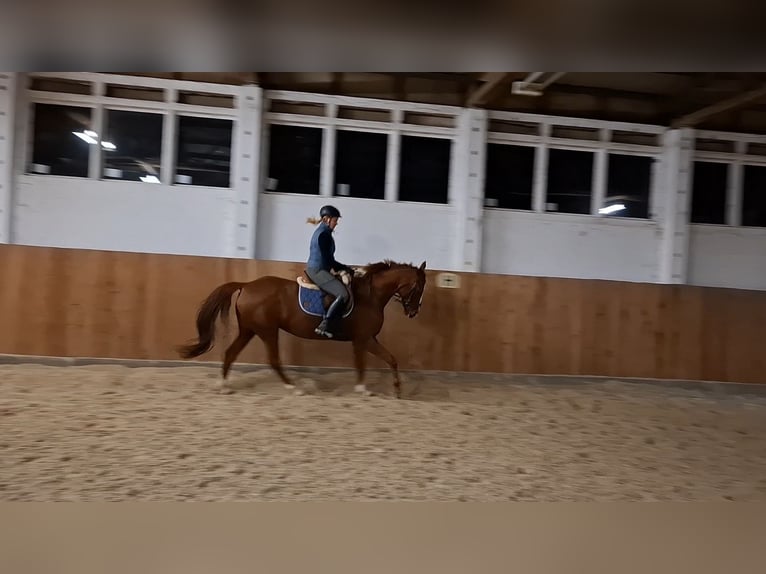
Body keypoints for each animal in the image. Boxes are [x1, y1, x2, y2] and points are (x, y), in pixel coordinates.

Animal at [177, 260, 428, 400]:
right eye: (419, 287)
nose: (414, 311)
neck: (370, 296)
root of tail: (247, 285)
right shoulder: (363, 339)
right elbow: (366, 363)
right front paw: (367, 390)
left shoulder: (366, 340)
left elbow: (389, 360)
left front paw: (394, 390)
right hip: (267, 331)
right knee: (273, 360)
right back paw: (294, 388)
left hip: (249, 330)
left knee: (230, 353)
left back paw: (223, 386)